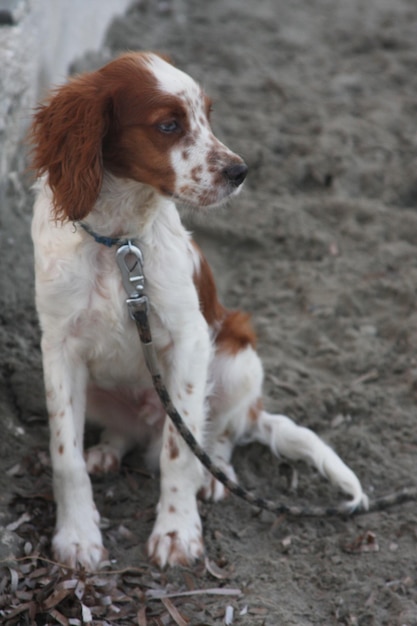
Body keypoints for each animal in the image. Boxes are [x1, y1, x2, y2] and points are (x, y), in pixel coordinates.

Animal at [30, 52, 368, 572]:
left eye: (208, 116)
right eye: (168, 125)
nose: (240, 171)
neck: (120, 242)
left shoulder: (188, 342)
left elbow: (179, 450)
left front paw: (176, 532)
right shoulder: (59, 346)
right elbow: (65, 453)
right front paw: (77, 536)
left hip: (238, 359)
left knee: (218, 436)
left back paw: (214, 475)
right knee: (125, 433)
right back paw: (107, 451)